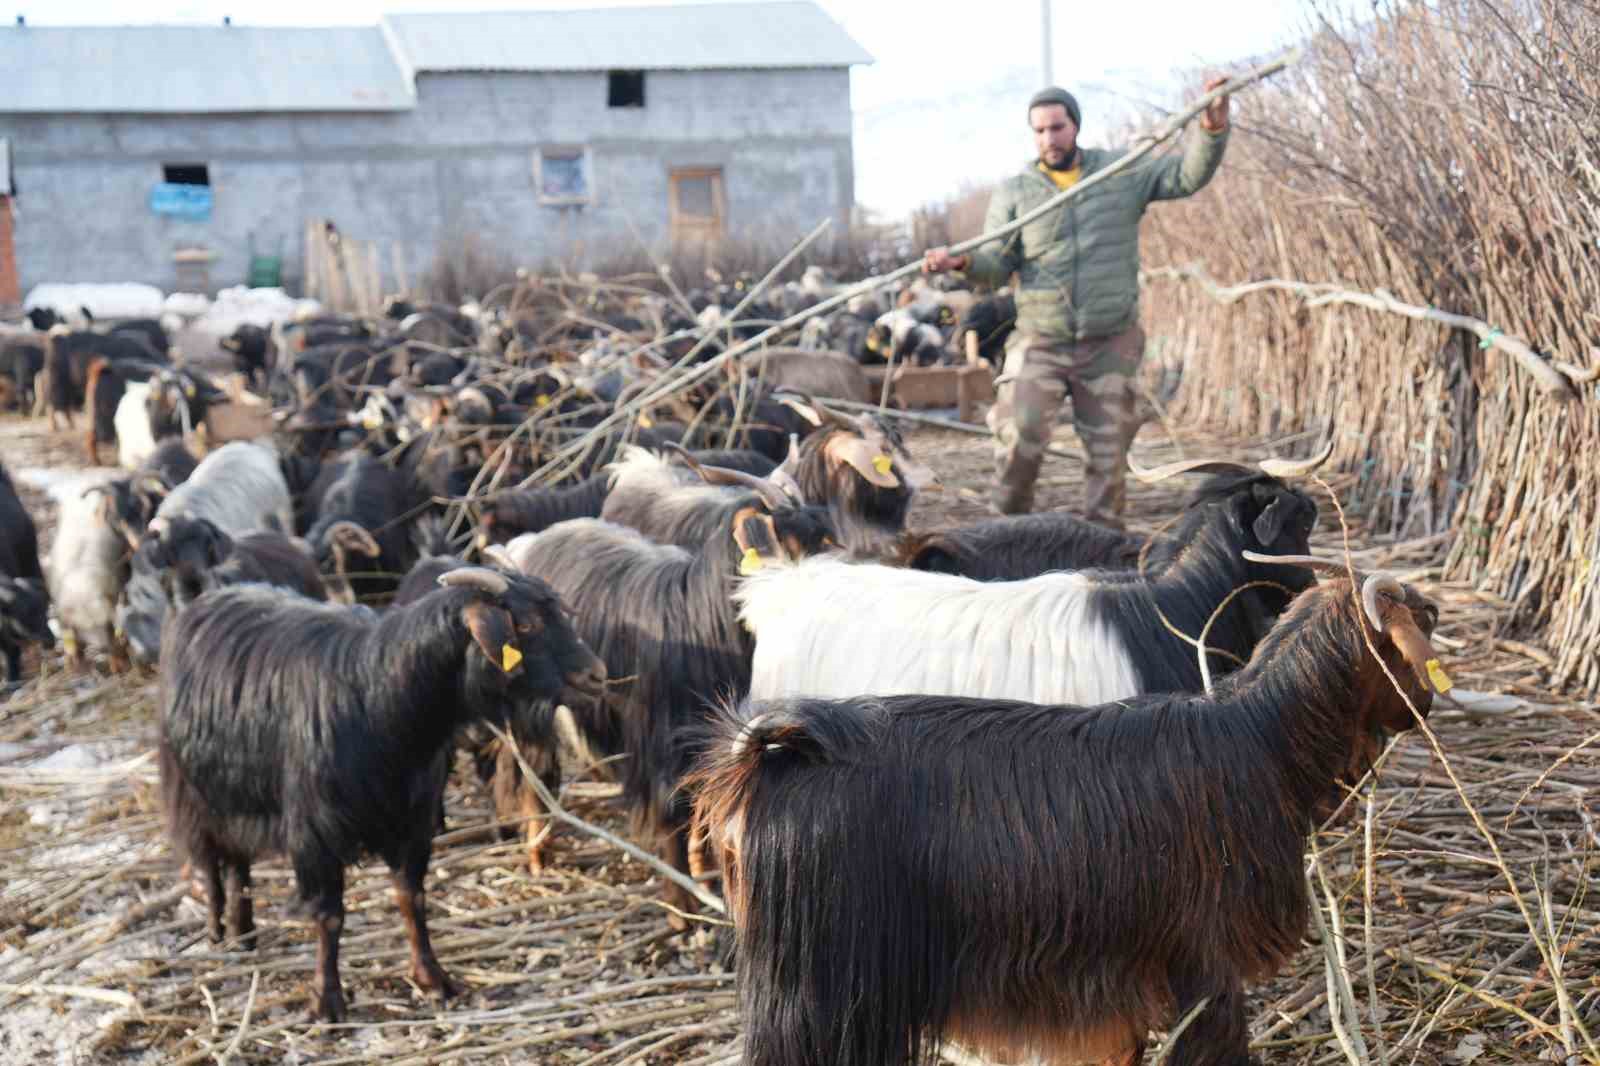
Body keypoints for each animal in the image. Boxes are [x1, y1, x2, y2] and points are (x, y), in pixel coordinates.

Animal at [157, 569, 604, 1017]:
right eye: (526, 625)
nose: (596, 676)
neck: (380, 699)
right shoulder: (315, 833)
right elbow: (329, 916)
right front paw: (328, 1000)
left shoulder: (413, 821)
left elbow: (412, 898)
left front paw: (433, 978)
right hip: (194, 793)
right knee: (210, 860)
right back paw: (217, 932)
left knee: (238, 862)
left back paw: (244, 933)